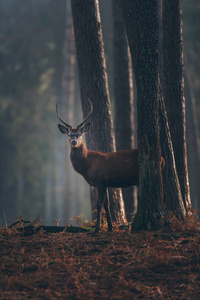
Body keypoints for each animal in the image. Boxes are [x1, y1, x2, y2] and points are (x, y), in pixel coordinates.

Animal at [56, 99, 164, 233]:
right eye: (69, 134)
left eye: (80, 133)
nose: (74, 142)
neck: (87, 166)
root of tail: (162, 159)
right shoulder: (105, 182)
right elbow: (107, 205)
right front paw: (110, 227)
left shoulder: (100, 181)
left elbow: (99, 205)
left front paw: (97, 229)